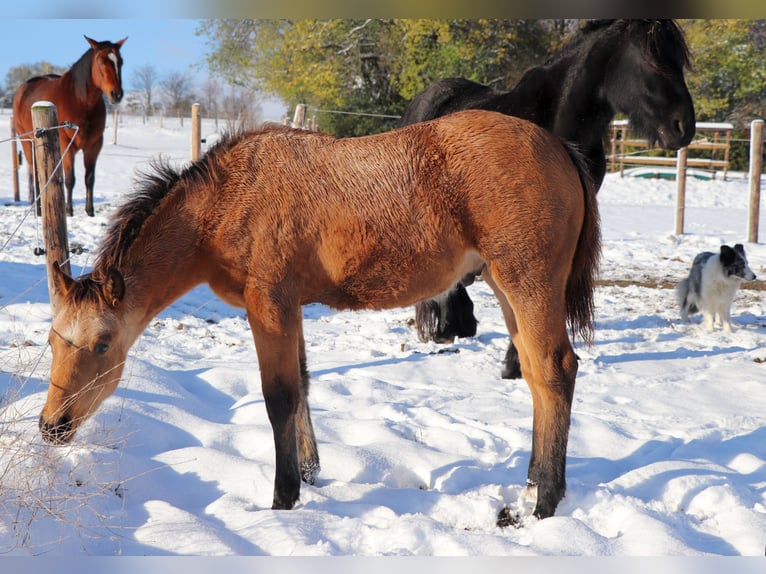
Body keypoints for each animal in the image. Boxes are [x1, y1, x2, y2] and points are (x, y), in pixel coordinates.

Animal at [13, 35, 127, 218]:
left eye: (120, 62)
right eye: (101, 62)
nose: (116, 94)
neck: (80, 101)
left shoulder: (94, 146)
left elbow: (89, 179)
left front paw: (90, 211)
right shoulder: (67, 146)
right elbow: (69, 179)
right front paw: (68, 211)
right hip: (26, 142)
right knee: (35, 172)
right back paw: (38, 209)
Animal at [37, 109, 600, 528]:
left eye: (103, 344)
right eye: (53, 341)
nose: (51, 427)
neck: (228, 199)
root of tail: (558, 146)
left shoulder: (269, 306)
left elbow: (279, 397)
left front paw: (283, 497)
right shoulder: (292, 309)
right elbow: (303, 384)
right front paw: (310, 474)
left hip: (527, 283)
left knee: (554, 370)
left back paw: (545, 502)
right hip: (506, 289)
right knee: (534, 374)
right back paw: (532, 482)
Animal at [404, 18, 700, 380]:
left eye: (680, 60)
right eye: (651, 59)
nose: (683, 126)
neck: (558, 121)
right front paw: (515, 362)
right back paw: (446, 325)